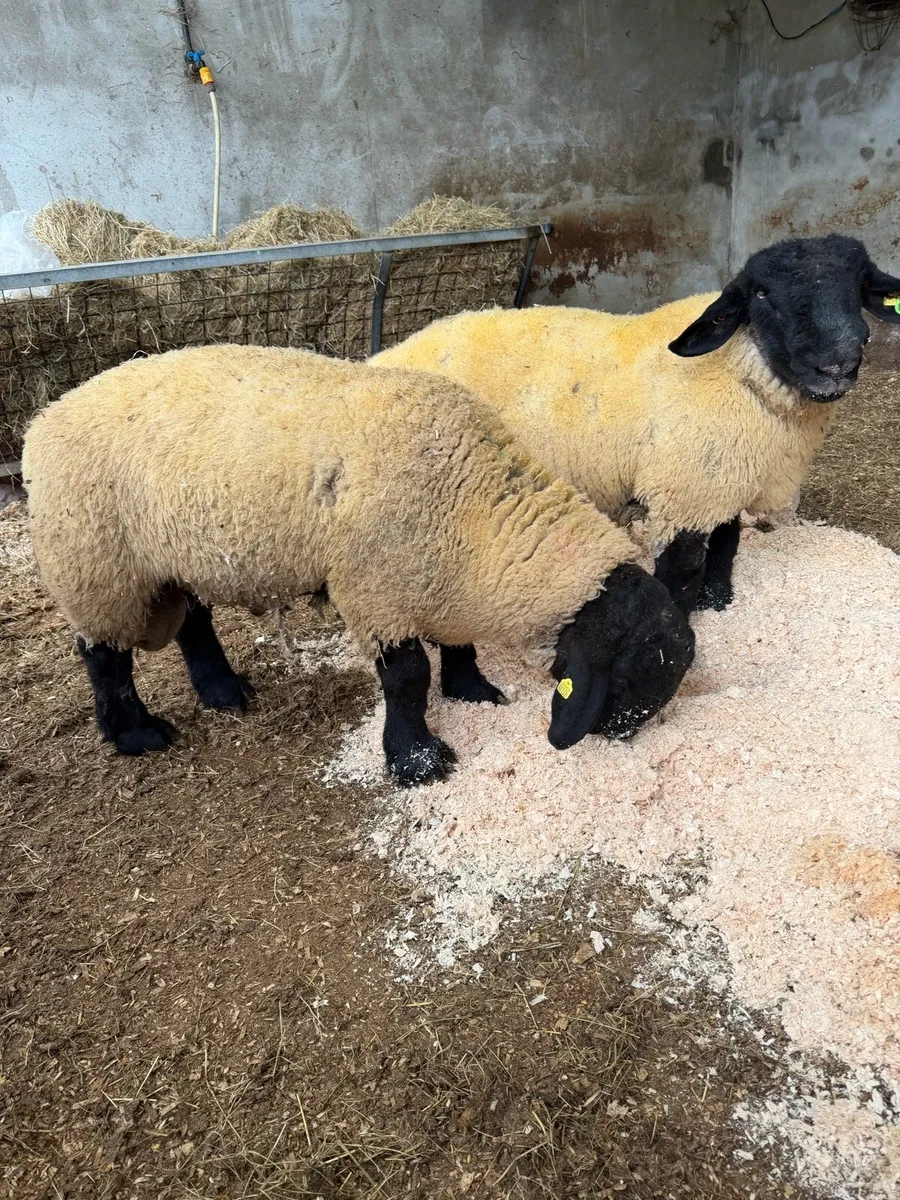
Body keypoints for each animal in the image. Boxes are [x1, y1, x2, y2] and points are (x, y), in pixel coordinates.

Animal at [22, 345, 695, 786]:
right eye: (628, 677)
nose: (616, 739)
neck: (480, 510)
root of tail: (45, 416)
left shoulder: (435, 572)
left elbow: (458, 645)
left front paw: (472, 689)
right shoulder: (376, 592)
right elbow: (406, 679)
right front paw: (417, 760)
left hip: (174, 556)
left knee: (193, 622)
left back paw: (223, 690)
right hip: (95, 564)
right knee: (102, 655)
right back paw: (135, 734)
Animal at [372, 234, 900, 614]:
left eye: (859, 286)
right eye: (763, 293)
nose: (837, 362)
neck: (742, 372)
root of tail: (382, 359)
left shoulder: (724, 480)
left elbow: (725, 549)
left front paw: (719, 604)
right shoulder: (685, 492)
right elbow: (681, 571)